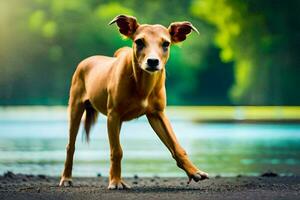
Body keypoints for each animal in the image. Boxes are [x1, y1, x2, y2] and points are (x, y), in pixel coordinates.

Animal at [59, 14, 207, 189]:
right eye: (139, 42)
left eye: (166, 44)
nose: (152, 61)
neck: (142, 84)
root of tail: (86, 60)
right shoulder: (113, 114)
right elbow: (117, 151)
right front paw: (115, 182)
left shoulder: (157, 114)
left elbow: (176, 146)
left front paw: (194, 171)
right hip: (76, 106)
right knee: (71, 146)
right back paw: (66, 178)